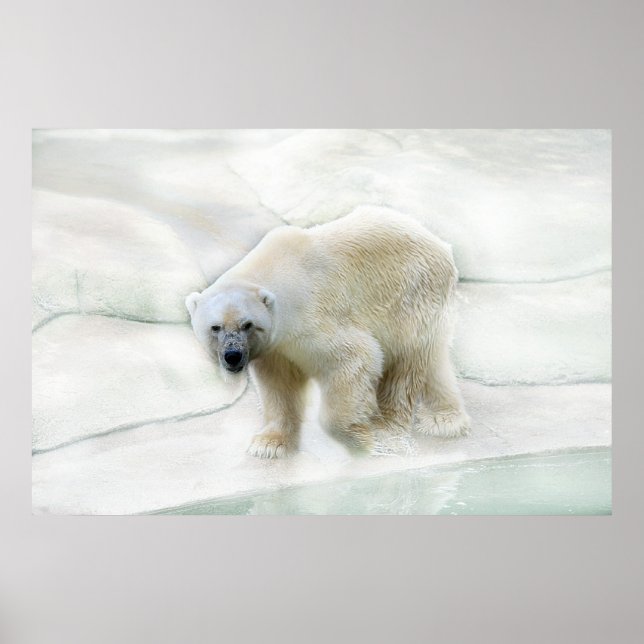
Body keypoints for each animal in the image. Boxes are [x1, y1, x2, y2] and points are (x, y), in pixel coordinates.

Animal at [186, 206, 470, 458]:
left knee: (405, 360)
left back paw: (388, 426)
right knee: (434, 359)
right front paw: (268, 444)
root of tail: (442, 246)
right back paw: (445, 419)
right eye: (215, 327)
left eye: (247, 325)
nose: (232, 356)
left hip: (413, 294)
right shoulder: (276, 348)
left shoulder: (312, 318)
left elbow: (357, 357)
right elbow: (278, 385)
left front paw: (363, 440)